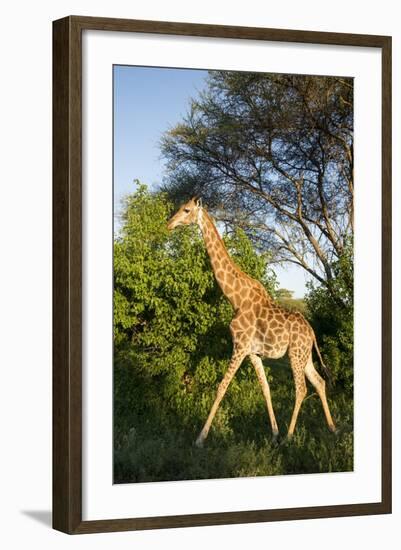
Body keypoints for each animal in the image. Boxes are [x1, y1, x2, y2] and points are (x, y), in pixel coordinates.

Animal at [166, 196, 334, 446]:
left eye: (186, 210)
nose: (169, 224)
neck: (235, 298)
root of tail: (312, 332)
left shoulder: (240, 346)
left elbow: (221, 387)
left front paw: (200, 438)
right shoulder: (254, 353)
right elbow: (265, 388)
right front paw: (273, 433)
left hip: (295, 354)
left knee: (302, 389)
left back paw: (290, 436)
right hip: (304, 356)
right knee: (319, 382)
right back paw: (332, 428)